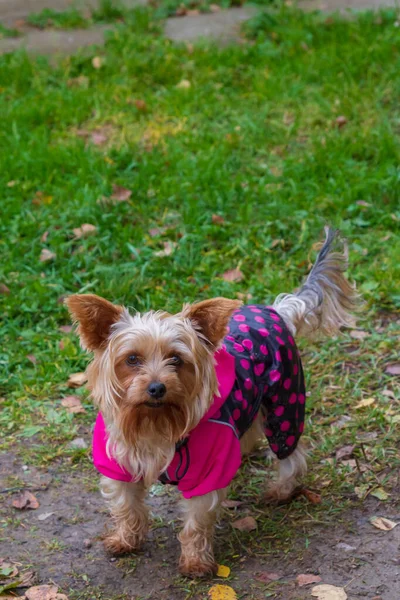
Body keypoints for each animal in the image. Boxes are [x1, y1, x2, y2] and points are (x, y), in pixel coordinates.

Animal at [65, 226, 356, 576]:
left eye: (176, 359)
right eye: (132, 359)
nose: (156, 388)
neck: (155, 423)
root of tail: (279, 311)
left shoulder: (205, 473)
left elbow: (196, 522)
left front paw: (195, 562)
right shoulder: (118, 463)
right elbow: (127, 505)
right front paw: (126, 540)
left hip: (286, 399)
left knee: (291, 452)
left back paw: (281, 490)